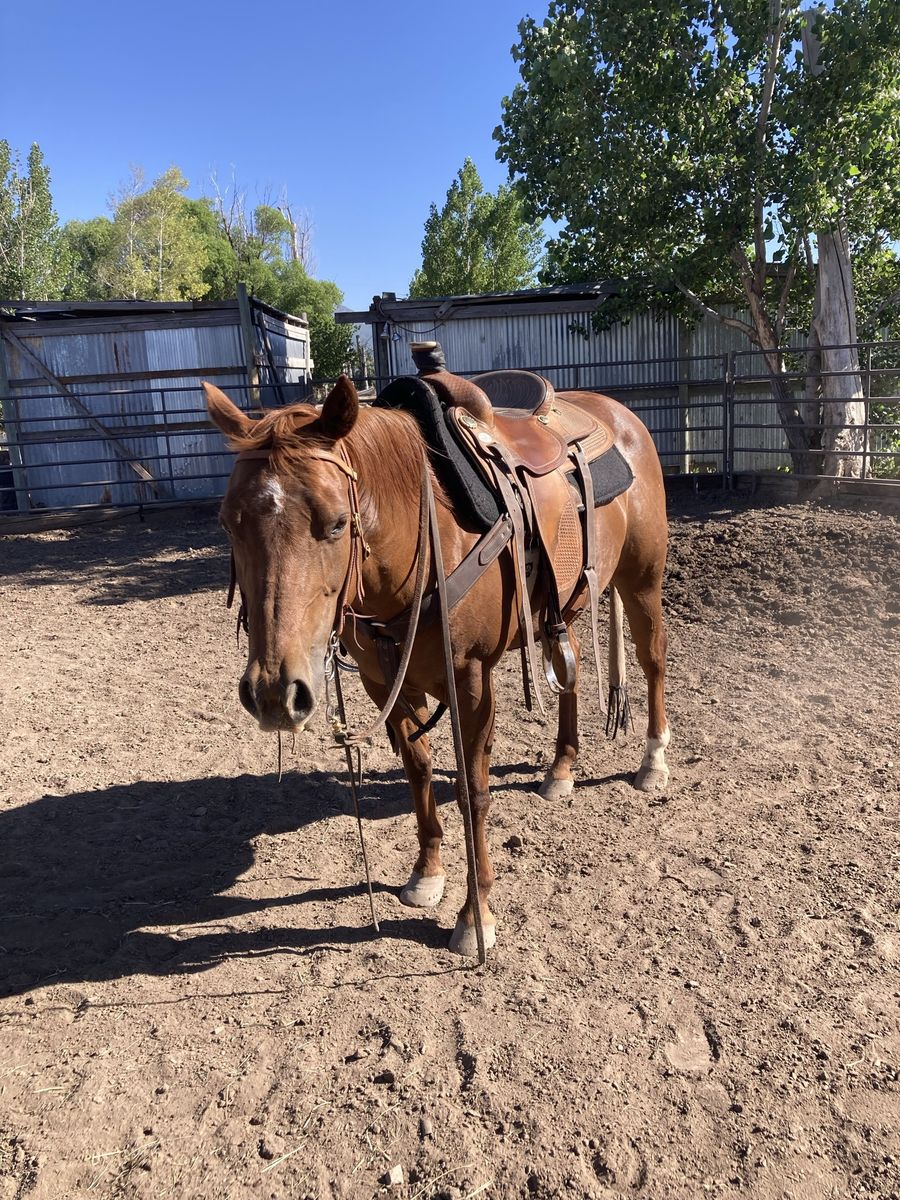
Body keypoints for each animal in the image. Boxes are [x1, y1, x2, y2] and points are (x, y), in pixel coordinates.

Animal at [204, 375, 669, 957]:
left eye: (336, 524)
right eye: (227, 522)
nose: (274, 694)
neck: (419, 545)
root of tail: (618, 415)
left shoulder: (470, 679)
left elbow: (472, 791)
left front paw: (476, 916)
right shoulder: (385, 680)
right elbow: (419, 769)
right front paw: (426, 875)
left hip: (642, 579)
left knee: (653, 659)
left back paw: (654, 762)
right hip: (561, 606)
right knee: (573, 669)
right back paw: (561, 768)